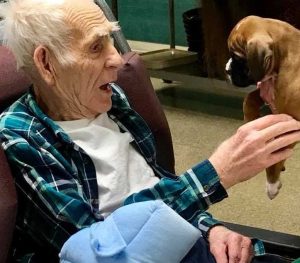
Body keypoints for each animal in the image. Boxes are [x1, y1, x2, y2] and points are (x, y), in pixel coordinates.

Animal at [225, 14, 300, 200]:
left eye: (239, 58)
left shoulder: (289, 124)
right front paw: (249, 122)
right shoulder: (266, 93)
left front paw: (272, 184)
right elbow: (249, 98)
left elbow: (274, 158)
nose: (227, 70)